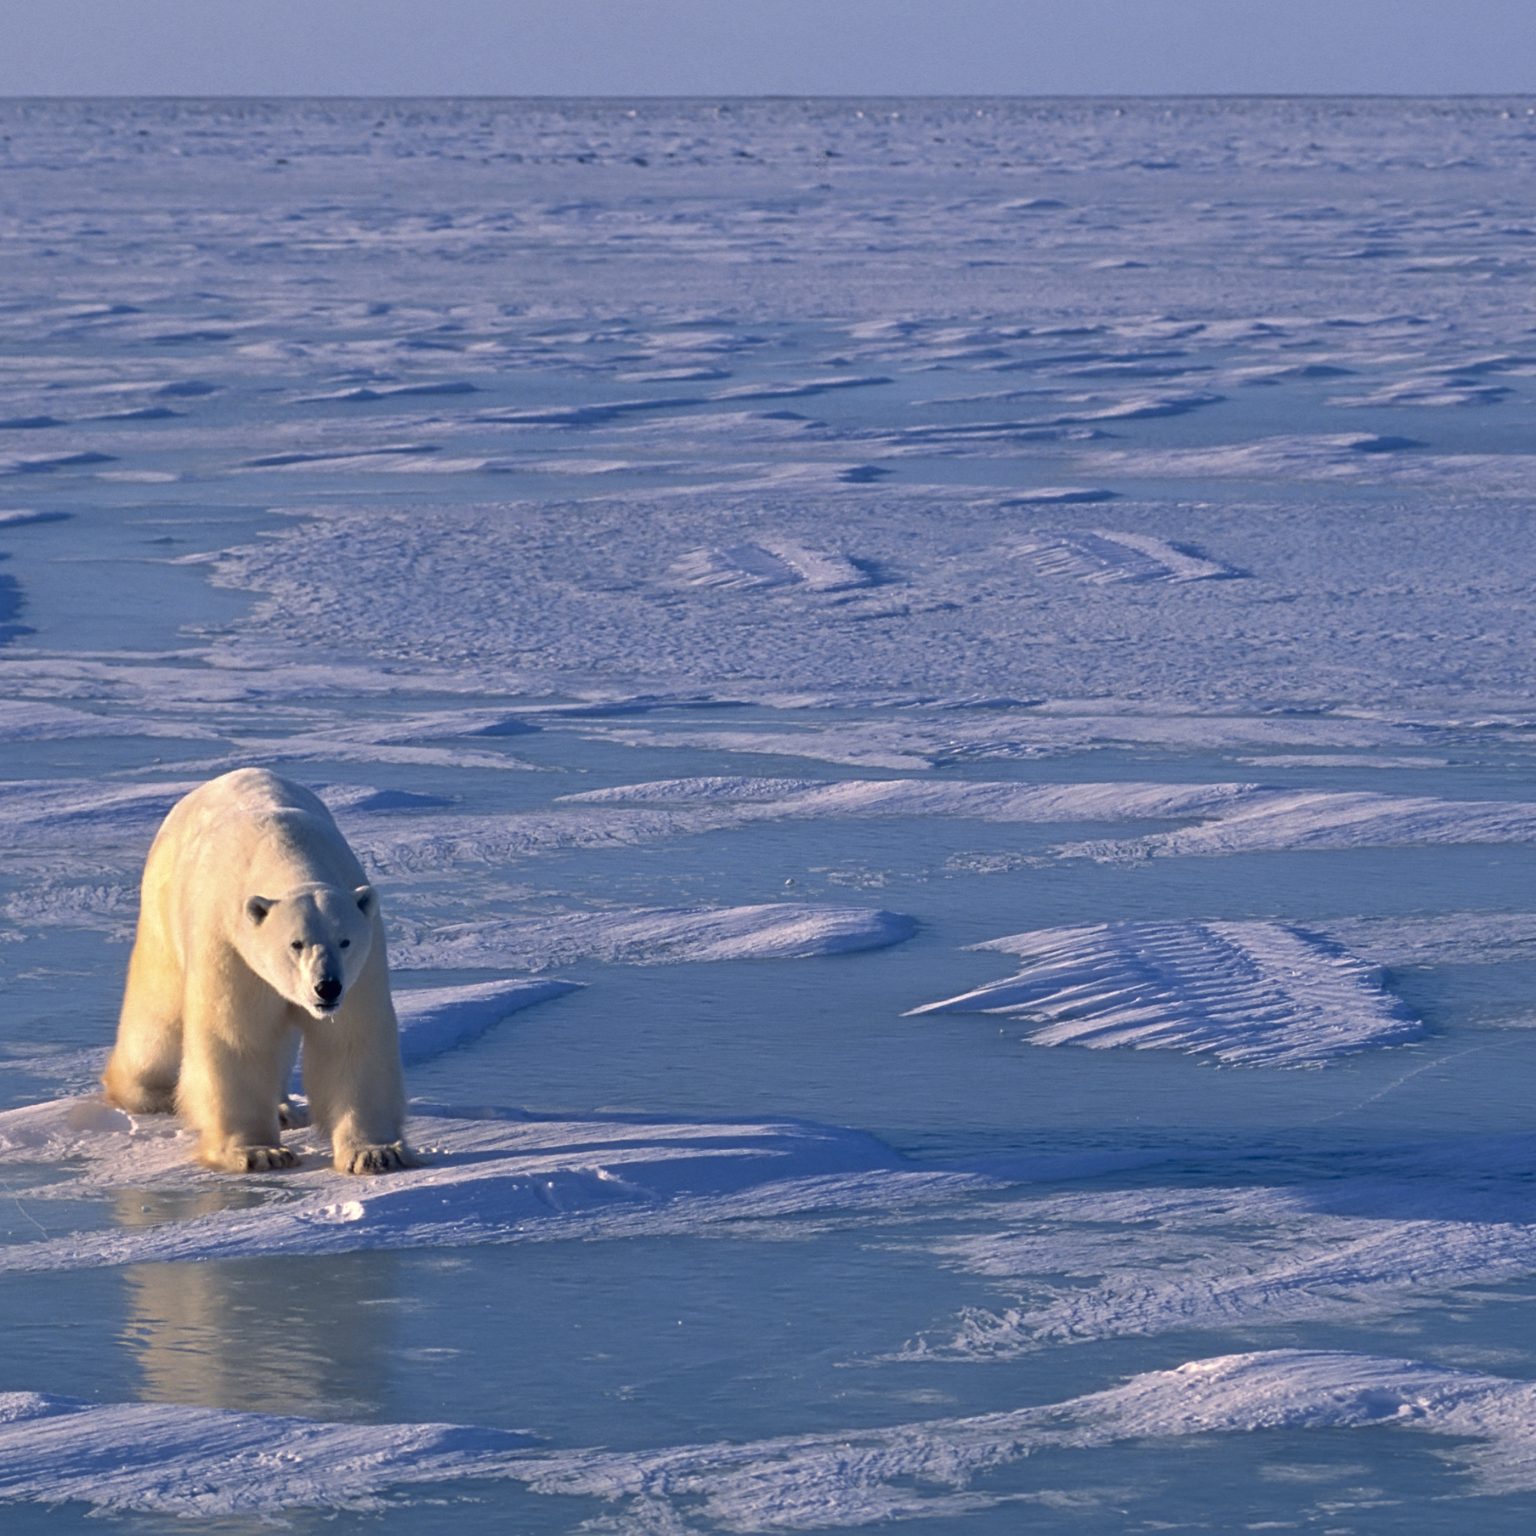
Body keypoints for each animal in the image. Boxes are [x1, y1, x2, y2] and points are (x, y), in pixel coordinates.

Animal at [102, 768, 417, 1173]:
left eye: (345, 941)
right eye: (296, 943)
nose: (327, 988)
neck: (285, 851)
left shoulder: (364, 963)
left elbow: (351, 1038)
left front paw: (376, 1152)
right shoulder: (230, 946)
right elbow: (238, 1037)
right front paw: (259, 1153)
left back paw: (284, 1109)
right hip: (162, 907)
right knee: (159, 1012)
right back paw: (148, 1092)